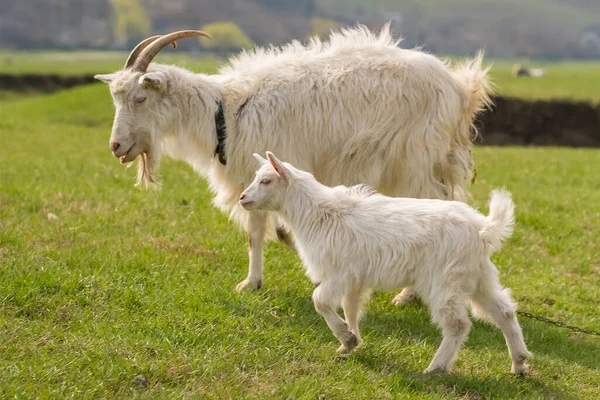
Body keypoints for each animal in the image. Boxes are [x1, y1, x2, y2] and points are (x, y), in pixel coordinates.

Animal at [95, 25, 492, 294]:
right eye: (116, 98)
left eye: (140, 99)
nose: (115, 146)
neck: (226, 113)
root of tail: (461, 88)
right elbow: (258, 233)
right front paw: (255, 280)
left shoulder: (268, 168)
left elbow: (260, 230)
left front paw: (254, 280)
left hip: (416, 158)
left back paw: (410, 294)